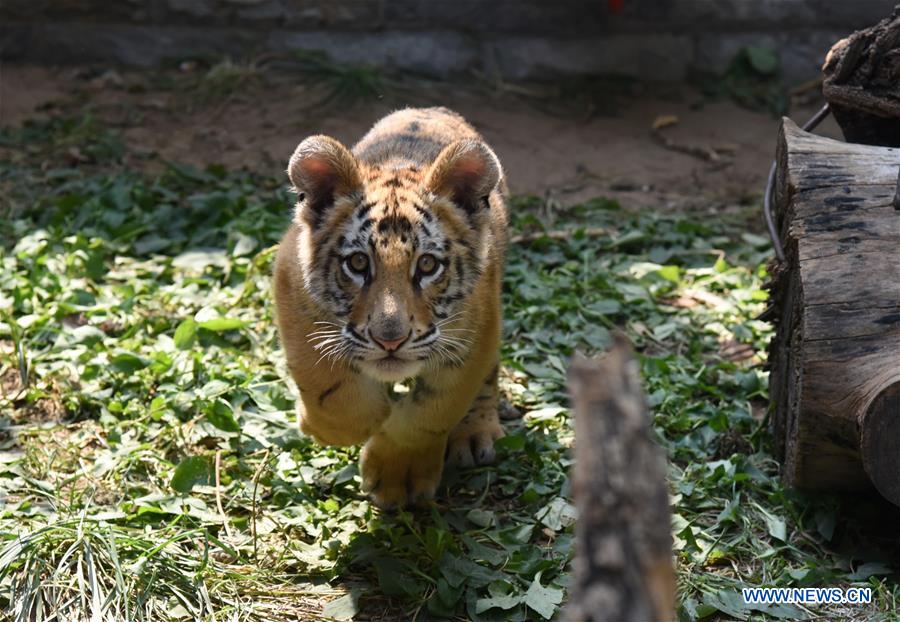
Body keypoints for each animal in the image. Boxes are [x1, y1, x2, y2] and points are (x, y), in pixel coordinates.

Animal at [273, 107, 508, 508]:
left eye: (427, 265)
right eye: (358, 263)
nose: (390, 341)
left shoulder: (477, 329)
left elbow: (435, 408)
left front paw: (400, 476)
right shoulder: (291, 283)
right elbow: (328, 387)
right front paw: (326, 423)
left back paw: (476, 435)